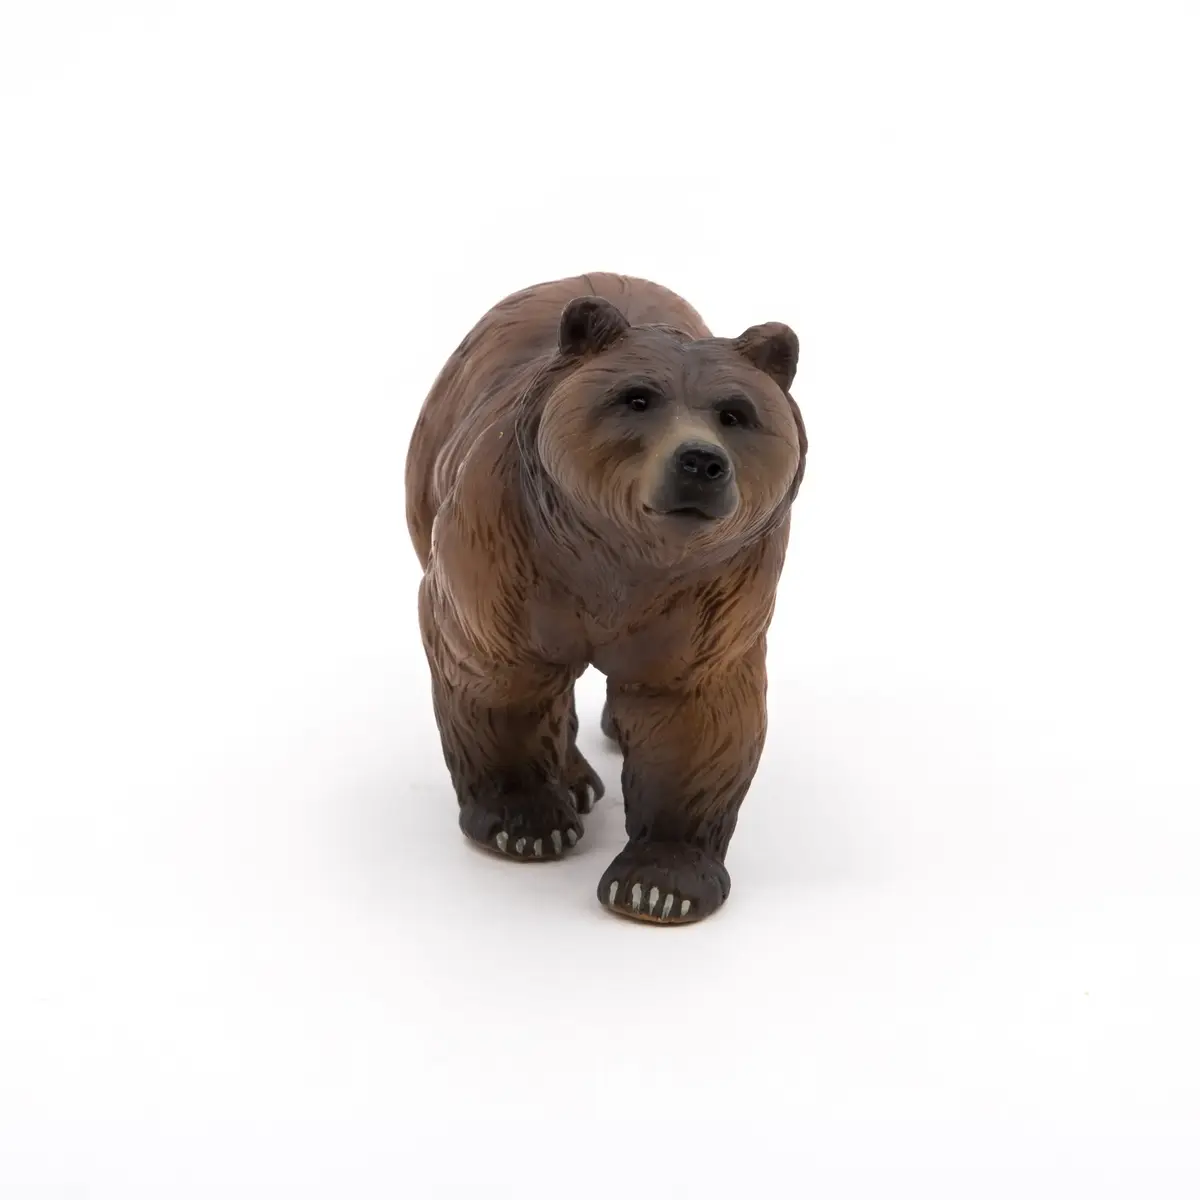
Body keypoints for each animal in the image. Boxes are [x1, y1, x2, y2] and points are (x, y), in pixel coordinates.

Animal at [405, 272, 807, 923]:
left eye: (735, 413)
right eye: (636, 398)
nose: (700, 461)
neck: (619, 560)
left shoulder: (714, 600)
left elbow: (696, 720)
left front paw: (660, 881)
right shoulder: (504, 558)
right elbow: (499, 681)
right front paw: (527, 821)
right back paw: (574, 781)